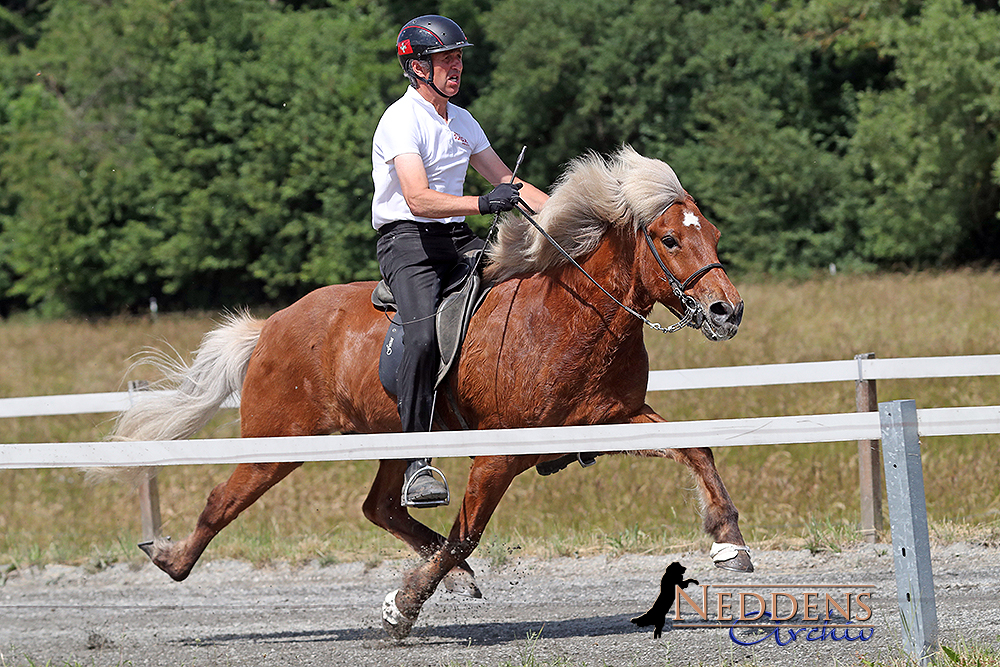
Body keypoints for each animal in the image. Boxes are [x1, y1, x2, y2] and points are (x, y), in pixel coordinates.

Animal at [111, 145, 752, 636]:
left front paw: (729, 542)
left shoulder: (610, 420)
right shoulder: (500, 454)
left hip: (389, 438)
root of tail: (271, 325)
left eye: (714, 233)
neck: (571, 317)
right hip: (278, 442)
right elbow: (466, 535)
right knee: (223, 499)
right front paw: (401, 609)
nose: (727, 311)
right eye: (669, 240)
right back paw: (169, 558)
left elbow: (696, 448)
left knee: (381, 505)